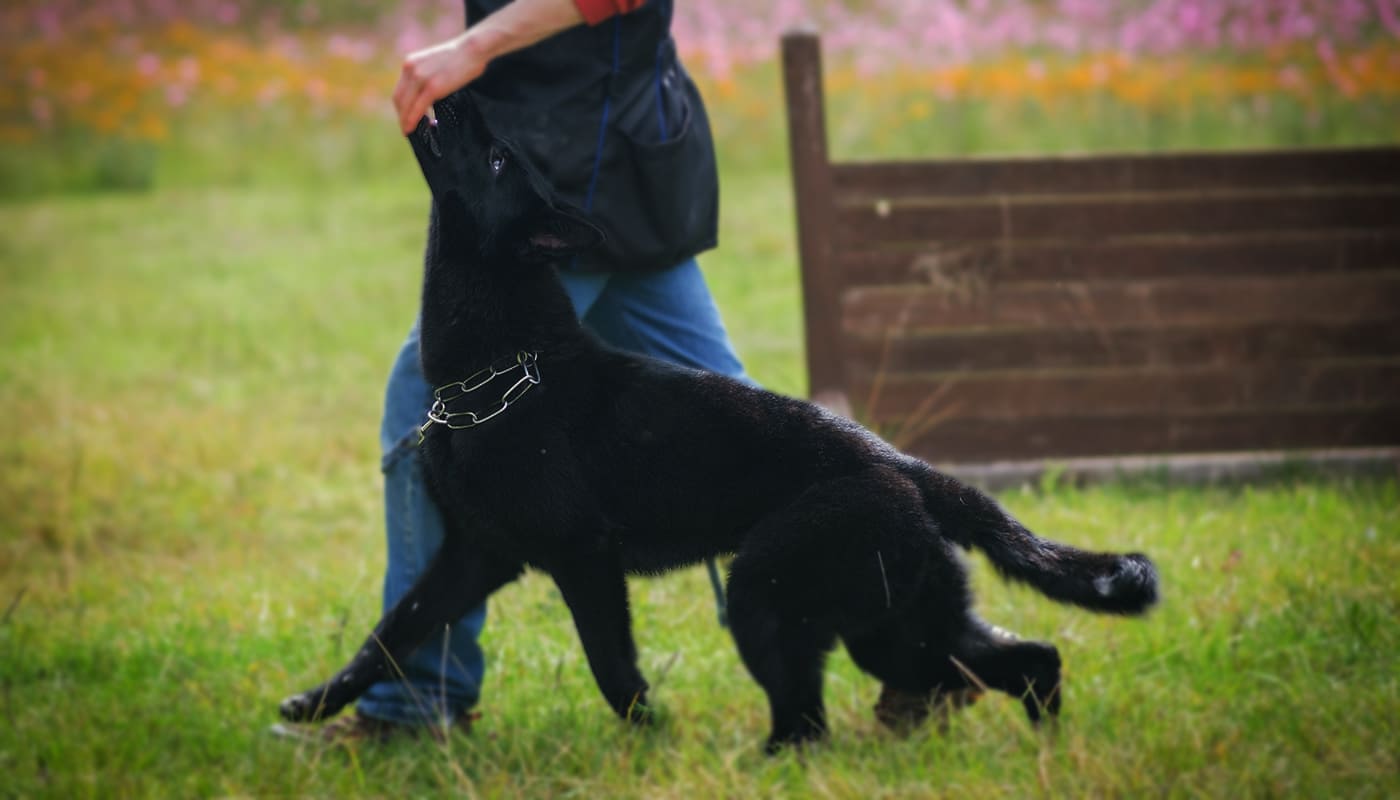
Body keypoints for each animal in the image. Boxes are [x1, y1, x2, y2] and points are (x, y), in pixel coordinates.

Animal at [281, 91, 1159, 756]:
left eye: (498, 159)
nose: (459, 90)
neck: (502, 369)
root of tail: (910, 471)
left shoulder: (581, 560)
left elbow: (611, 667)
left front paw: (651, 740)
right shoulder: (475, 556)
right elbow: (387, 637)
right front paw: (316, 703)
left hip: (771, 597)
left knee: (812, 721)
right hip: (895, 623)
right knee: (1029, 659)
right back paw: (1044, 744)